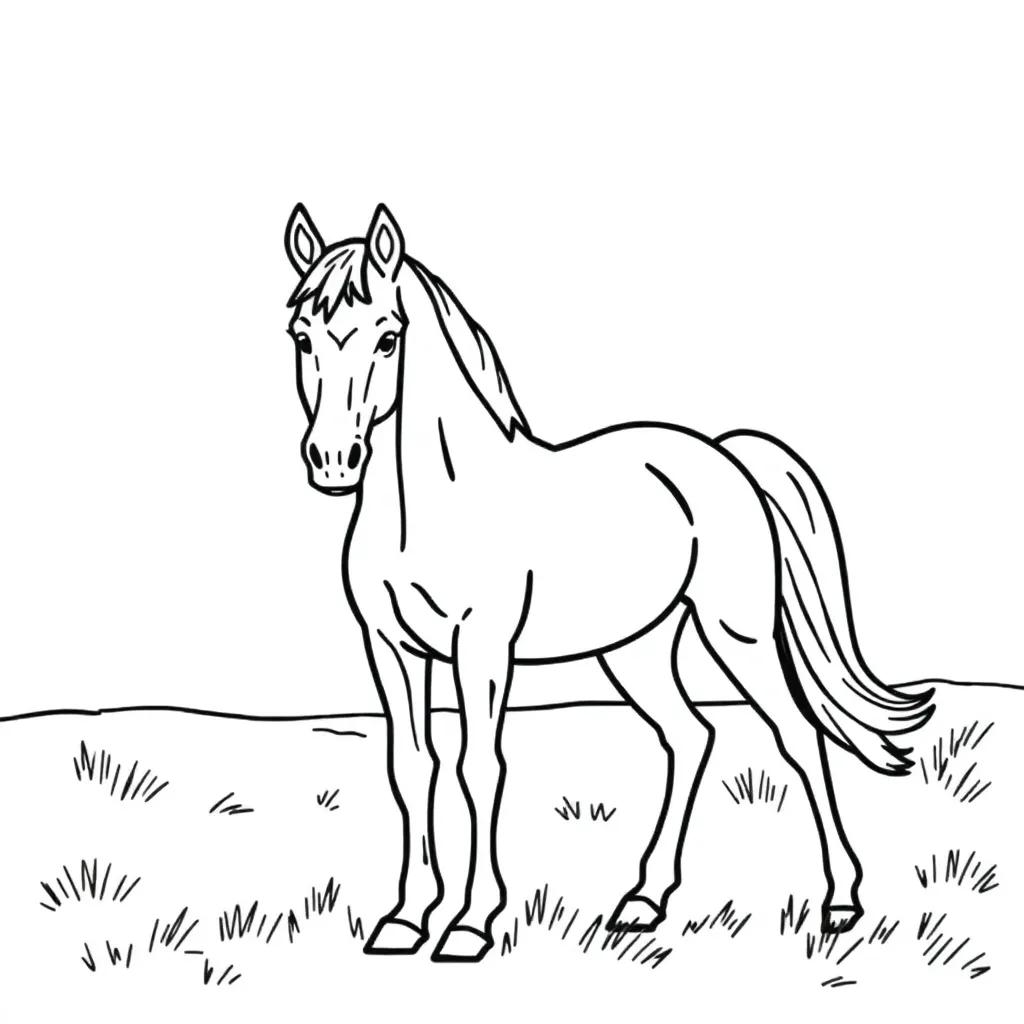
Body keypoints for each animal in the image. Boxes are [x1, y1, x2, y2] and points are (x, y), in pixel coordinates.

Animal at [281, 202, 935, 963]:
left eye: (389, 338)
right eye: (302, 337)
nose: (333, 459)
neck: (432, 504)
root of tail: (723, 456)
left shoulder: (482, 647)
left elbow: (480, 767)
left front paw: (472, 923)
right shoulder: (390, 646)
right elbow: (412, 767)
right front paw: (406, 919)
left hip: (735, 634)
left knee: (797, 736)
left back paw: (839, 902)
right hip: (635, 651)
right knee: (691, 737)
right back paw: (643, 901)